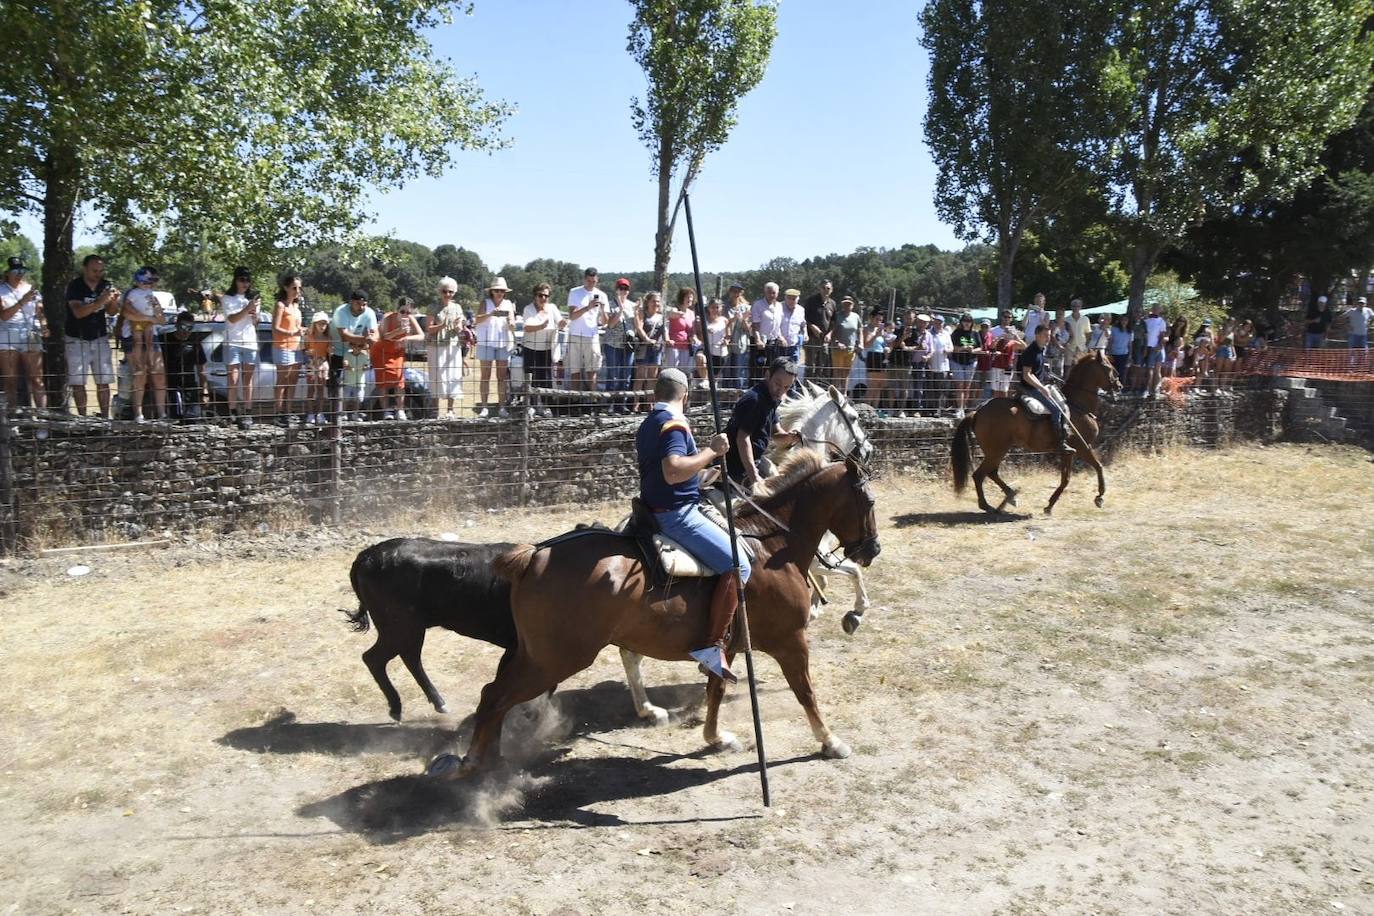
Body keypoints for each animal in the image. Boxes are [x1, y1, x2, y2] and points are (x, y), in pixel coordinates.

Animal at [445, 450, 884, 774]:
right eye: (869, 500)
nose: (872, 549)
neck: (770, 546)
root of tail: (533, 556)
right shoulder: (790, 641)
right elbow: (805, 691)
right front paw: (830, 741)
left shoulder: (726, 645)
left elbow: (716, 689)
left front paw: (716, 738)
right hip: (554, 659)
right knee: (496, 697)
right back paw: (474, 765)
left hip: (536, 654)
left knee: (495, 695)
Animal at [621, 379, 873, 725]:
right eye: (854, 416)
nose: (868, 450)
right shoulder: (816, 558)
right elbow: (853, 572)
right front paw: (854, 614)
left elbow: (833, 581)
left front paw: (817, 608)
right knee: (631, 651)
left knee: (629, 651)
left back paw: (651, 706)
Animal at [950, 354, 1121, 516]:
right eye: (1108, 367)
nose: (1119, 385)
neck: (1078, 405)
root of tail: (977, 412)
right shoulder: (1081, 447)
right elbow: (1096, 467)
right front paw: (1099, 497)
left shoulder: (1068, 452)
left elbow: (1067, 478)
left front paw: (1050, 505)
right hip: (997, 451)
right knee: (979, 475)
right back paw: (988, 505)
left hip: (996, 451)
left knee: (991, 473)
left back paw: (1010, 496)